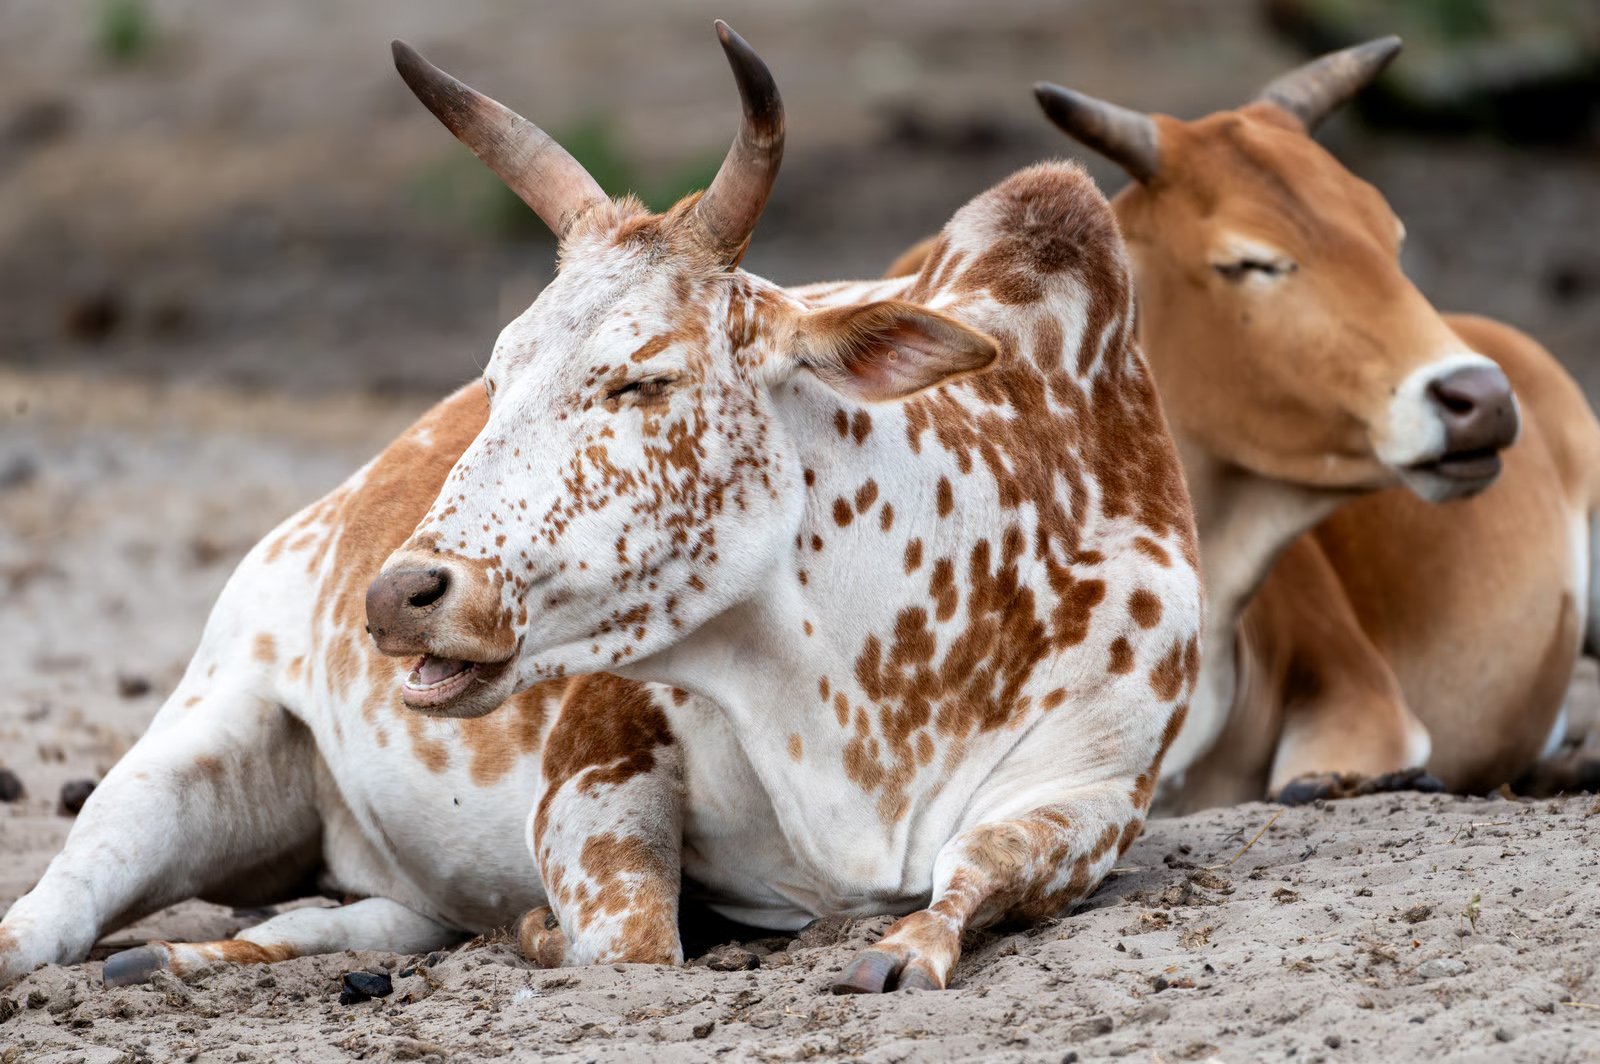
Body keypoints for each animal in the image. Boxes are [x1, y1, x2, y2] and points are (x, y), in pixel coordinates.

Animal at [2, 22, 1201, 994]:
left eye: (643, 378)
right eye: (495, 372)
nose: (400, 593)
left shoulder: (1096, 795)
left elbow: (971, 875)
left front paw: (904, 948)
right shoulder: (595, 766)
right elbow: (632, 940)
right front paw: (543, 931)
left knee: (363, 916)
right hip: (195, 744)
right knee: (53, 912)